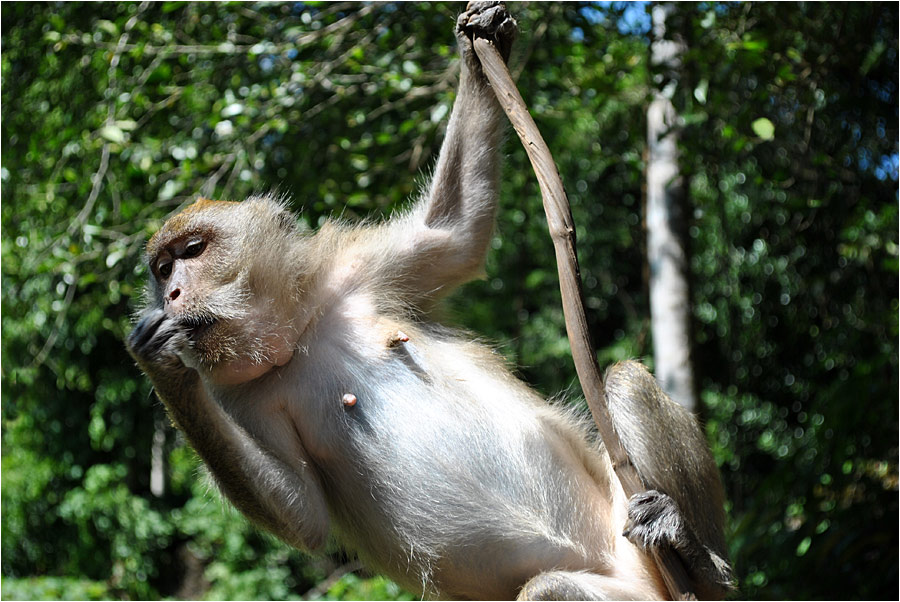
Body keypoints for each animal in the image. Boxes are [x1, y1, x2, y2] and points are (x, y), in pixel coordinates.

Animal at [125, 3, 732, 596]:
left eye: (194, 250)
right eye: (162, 269)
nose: (172, 294)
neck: (297, 332)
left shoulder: (359, 272)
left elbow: (454, 233)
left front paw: (478, 50)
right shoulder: (237, 397)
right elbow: (302, 512)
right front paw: (160, 365)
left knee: (623, 381)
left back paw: (699, 558)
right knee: (549, 588)